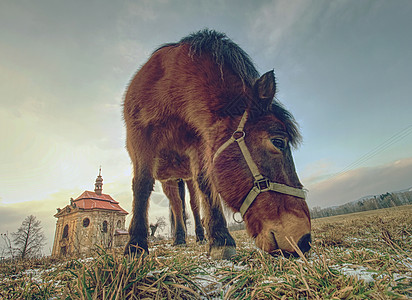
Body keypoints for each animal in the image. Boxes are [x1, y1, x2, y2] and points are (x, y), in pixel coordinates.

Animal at [124, 31, 310, 260]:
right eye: (278, 142)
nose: (304, 240)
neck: (167, 91)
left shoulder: (199, 144)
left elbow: (206, 184)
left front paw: (221, 239)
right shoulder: (140, 139)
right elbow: (142, 185)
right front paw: (135, 245)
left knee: (192, 206)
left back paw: (198, 236)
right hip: (169, 179)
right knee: (176, 205)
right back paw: (179, 238)